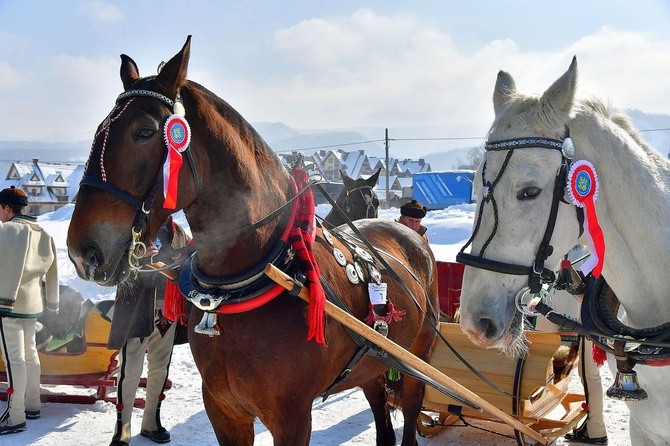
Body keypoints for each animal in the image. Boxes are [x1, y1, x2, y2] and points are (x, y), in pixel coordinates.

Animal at [65, 36, 438, 444]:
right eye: (99, 131)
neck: (256, 272)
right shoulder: (224, 411)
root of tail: (410, 236)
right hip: (372, 365)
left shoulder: (292, 419)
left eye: (145, 131)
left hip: (418, 360)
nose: (83, 252)